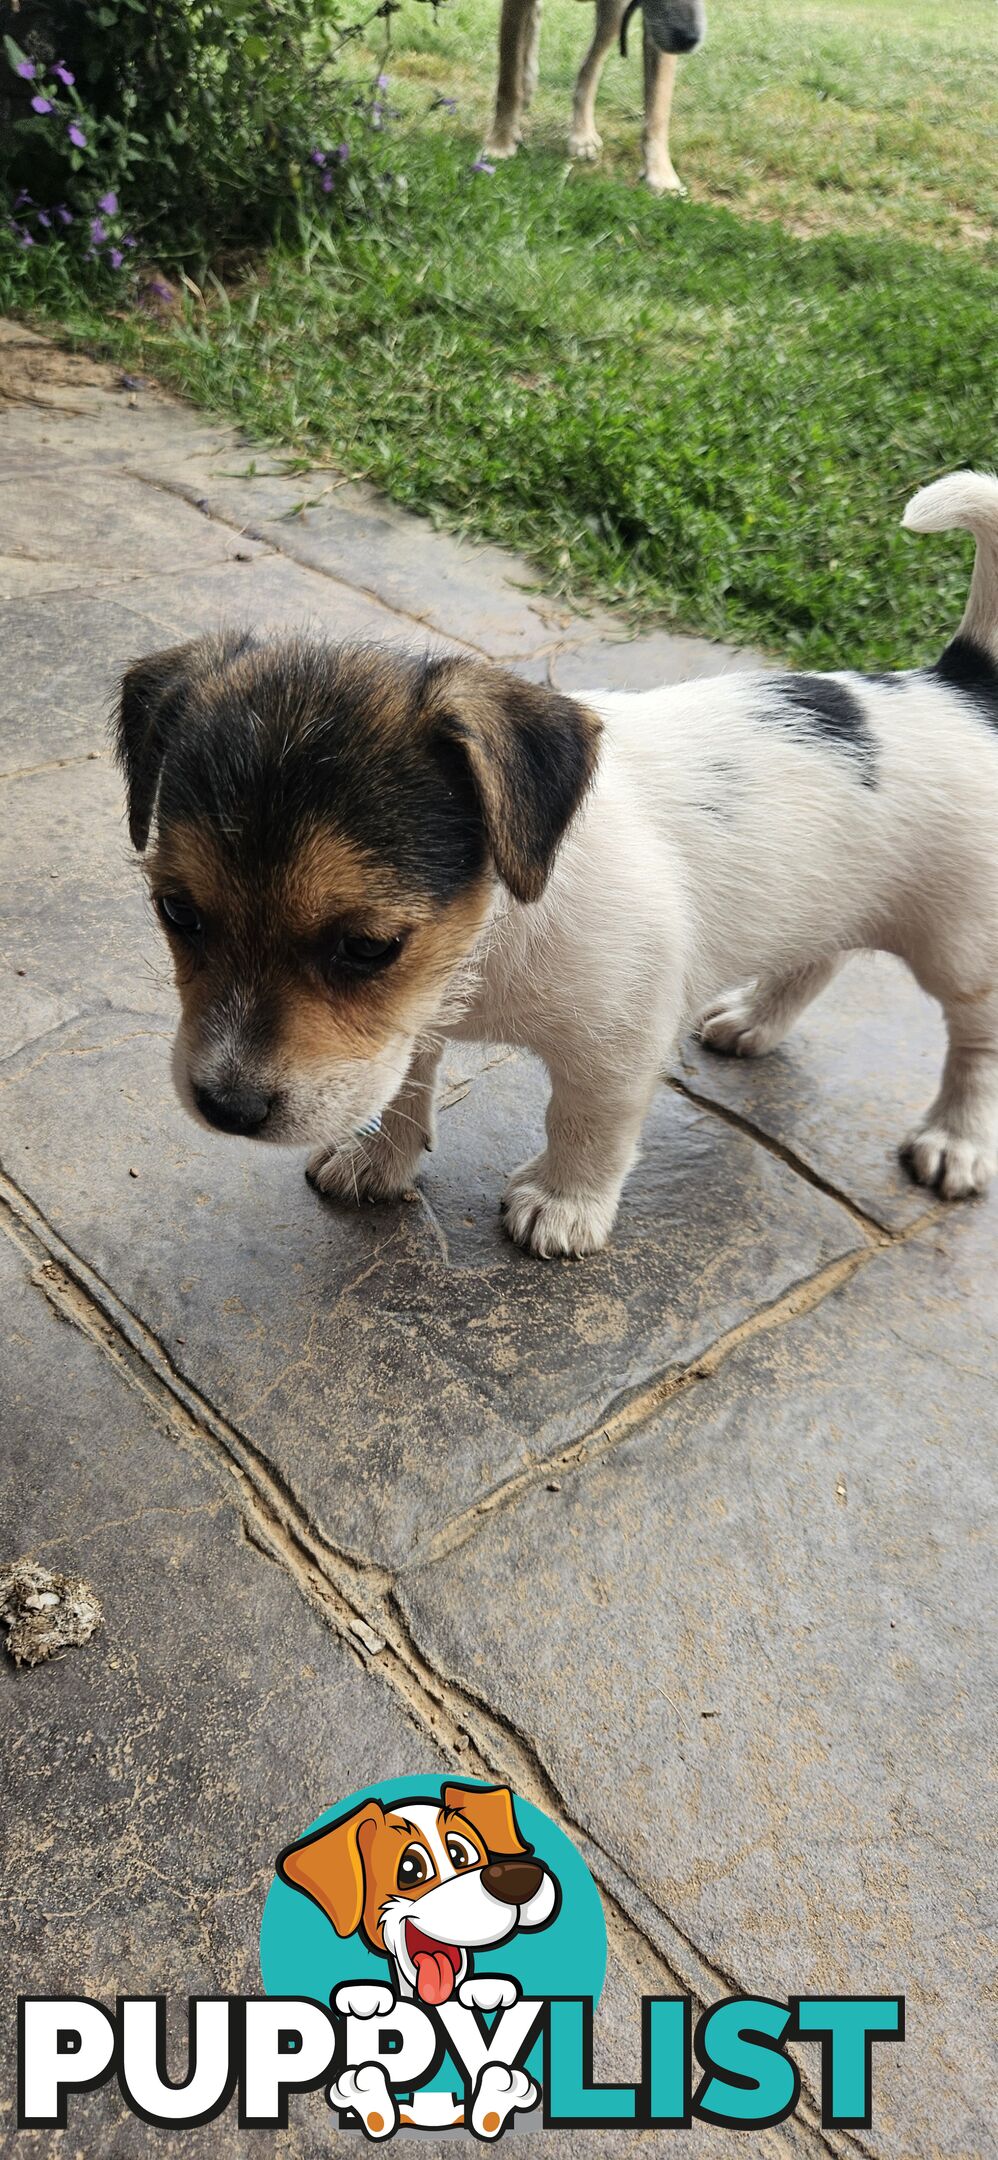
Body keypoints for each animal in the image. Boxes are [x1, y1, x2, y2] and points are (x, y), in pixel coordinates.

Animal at [118, 468, 998, 1252]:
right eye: (177, 912)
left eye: (366, 947)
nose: (226, 1109)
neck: (492, 929)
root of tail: (959, 687)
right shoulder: (412, 1019)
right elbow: (405, 1086)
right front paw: (379, 1160)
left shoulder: (617, 1045)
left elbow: (586, 1125)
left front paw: (565, 1206)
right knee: (819, 958)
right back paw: (755, 1020)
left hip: (964, 950)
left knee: (975, 1044)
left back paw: (955, 1141)